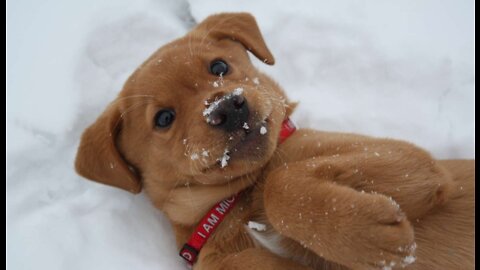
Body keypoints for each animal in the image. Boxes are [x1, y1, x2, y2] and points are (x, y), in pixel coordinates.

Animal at [75, 12, 472, 270]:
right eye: (163, 118)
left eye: (219, 67)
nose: (227, 107)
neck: (239, 197)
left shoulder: (413, 161)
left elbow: (281, 184)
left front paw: (368, 234)